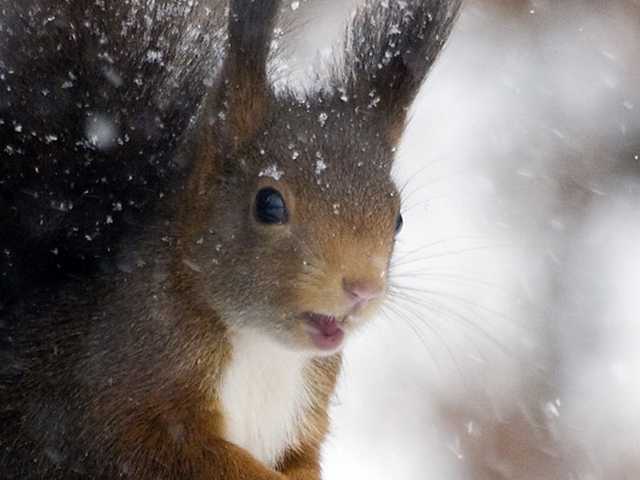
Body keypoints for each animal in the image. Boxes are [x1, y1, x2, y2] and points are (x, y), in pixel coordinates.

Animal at [0, 0, 460, 478]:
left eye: (398, 219)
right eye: (269, 204)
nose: (364, 288)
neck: (264, 350)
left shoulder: (305, 421)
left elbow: (303, 461)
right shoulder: (109, 411)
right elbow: (170, 455)